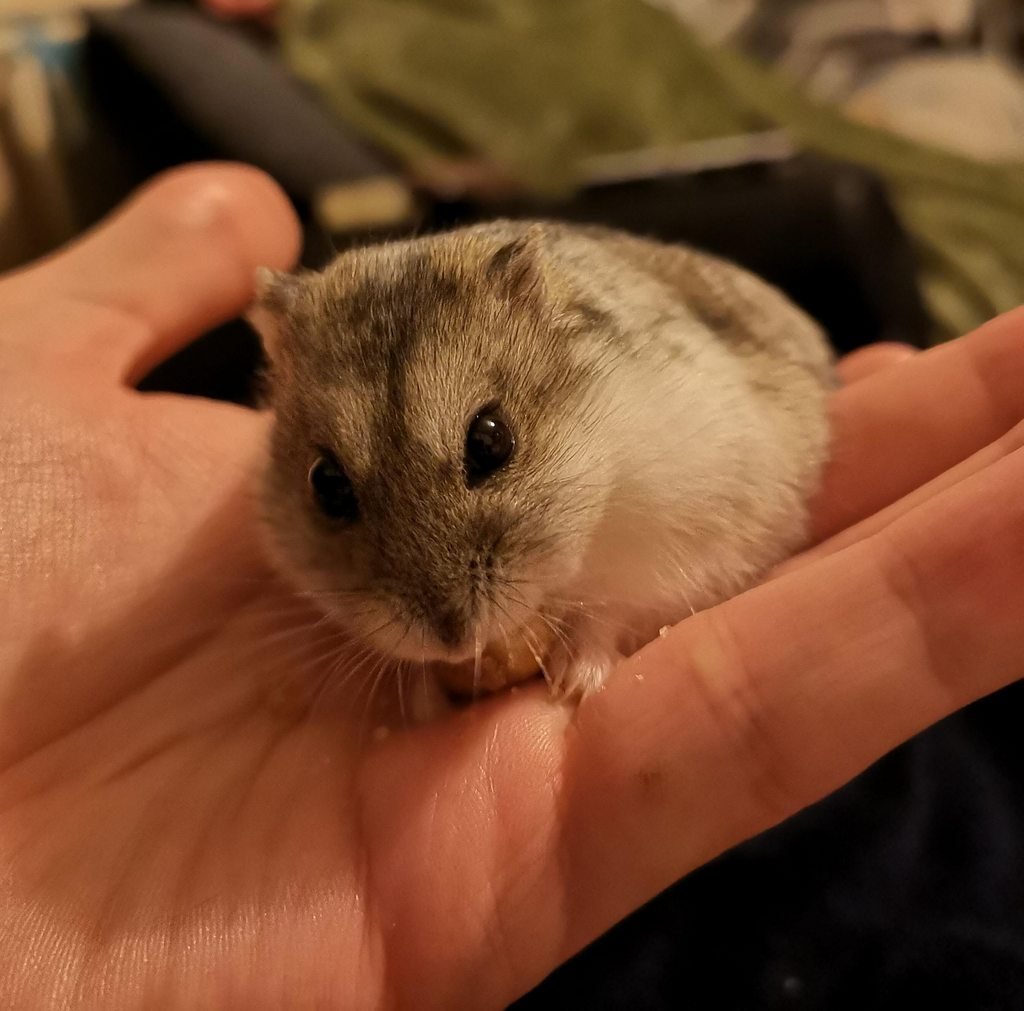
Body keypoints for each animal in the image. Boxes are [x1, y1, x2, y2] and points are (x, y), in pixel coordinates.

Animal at [248, 220, 834, 709]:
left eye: (490, 440)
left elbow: (613, 611)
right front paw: (421, 702)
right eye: (326, 484)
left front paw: (575, 686)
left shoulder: (698, 541)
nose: (454, 641)